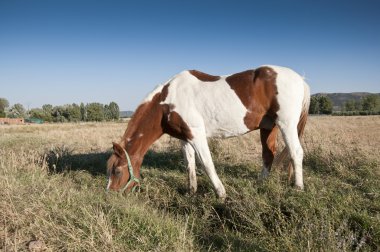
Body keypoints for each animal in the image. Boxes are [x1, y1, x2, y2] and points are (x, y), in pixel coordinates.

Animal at [108, 65, 310, 199]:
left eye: (117, 170)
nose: (110, 195)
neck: (167, 102)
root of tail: (301, 80)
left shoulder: (196, 135)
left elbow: (206, 163)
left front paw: (221, 194)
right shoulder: (185, 138)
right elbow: (189, 164)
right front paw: (191, 192)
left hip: (286, 124)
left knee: (296, 152)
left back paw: (298, 187)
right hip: (268, 127)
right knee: (268, 155)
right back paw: (260, 184)